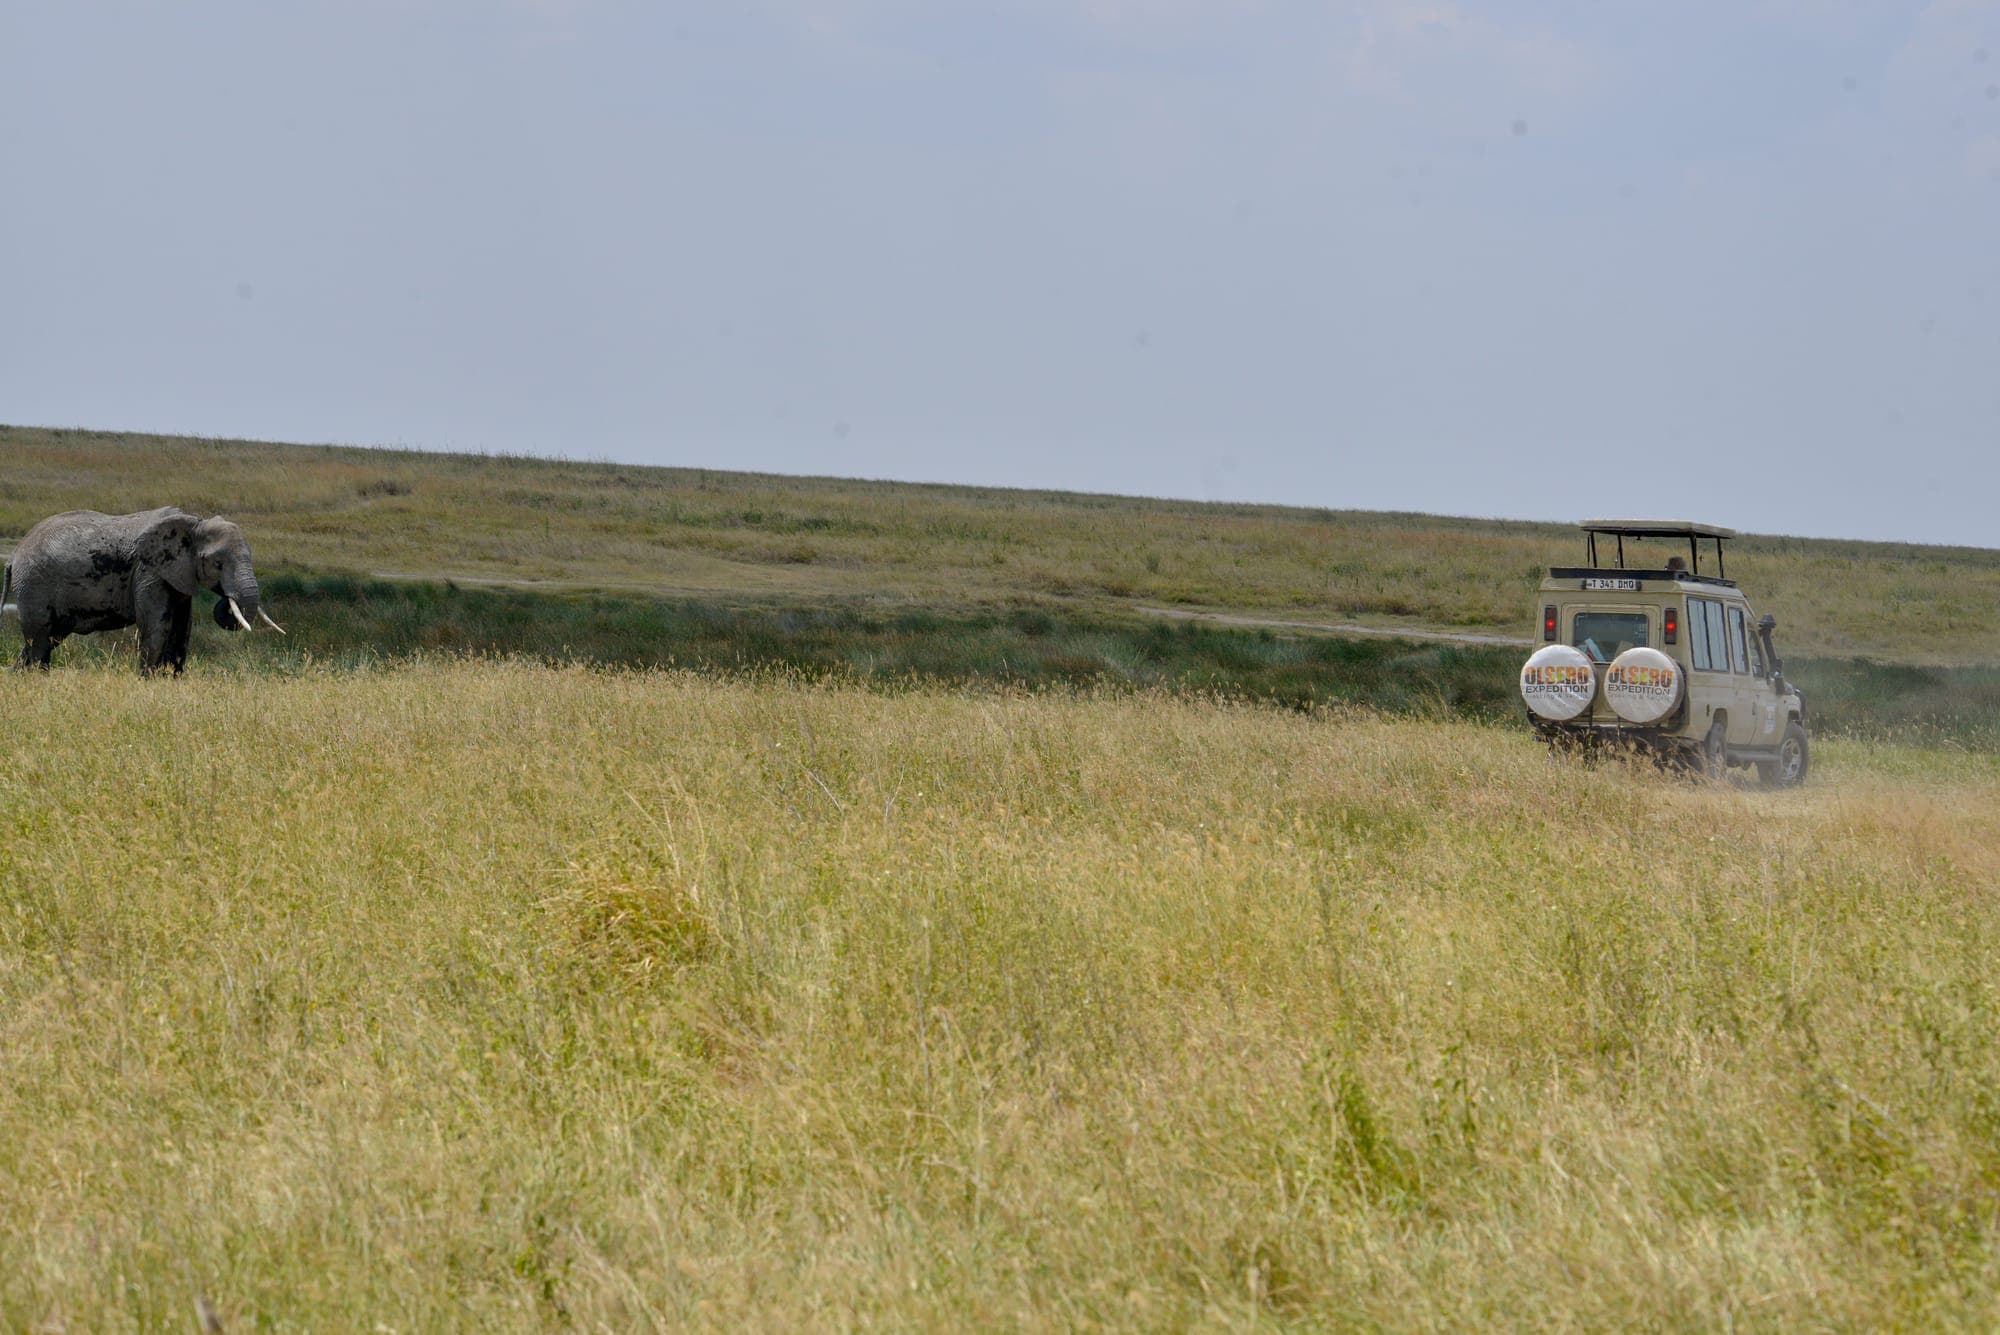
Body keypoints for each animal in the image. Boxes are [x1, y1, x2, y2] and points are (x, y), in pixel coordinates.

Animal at [5, 507, 284, 674]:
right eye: (217, 564)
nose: (227, 599)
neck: (194, 523)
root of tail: (15, 554)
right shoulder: (149, 572)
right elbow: (157, 624)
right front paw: (148, 680)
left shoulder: (177, 575)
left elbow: (183, 627)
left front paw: (172, 680)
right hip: (34, 585)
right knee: (39, 639)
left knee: (45, 640)